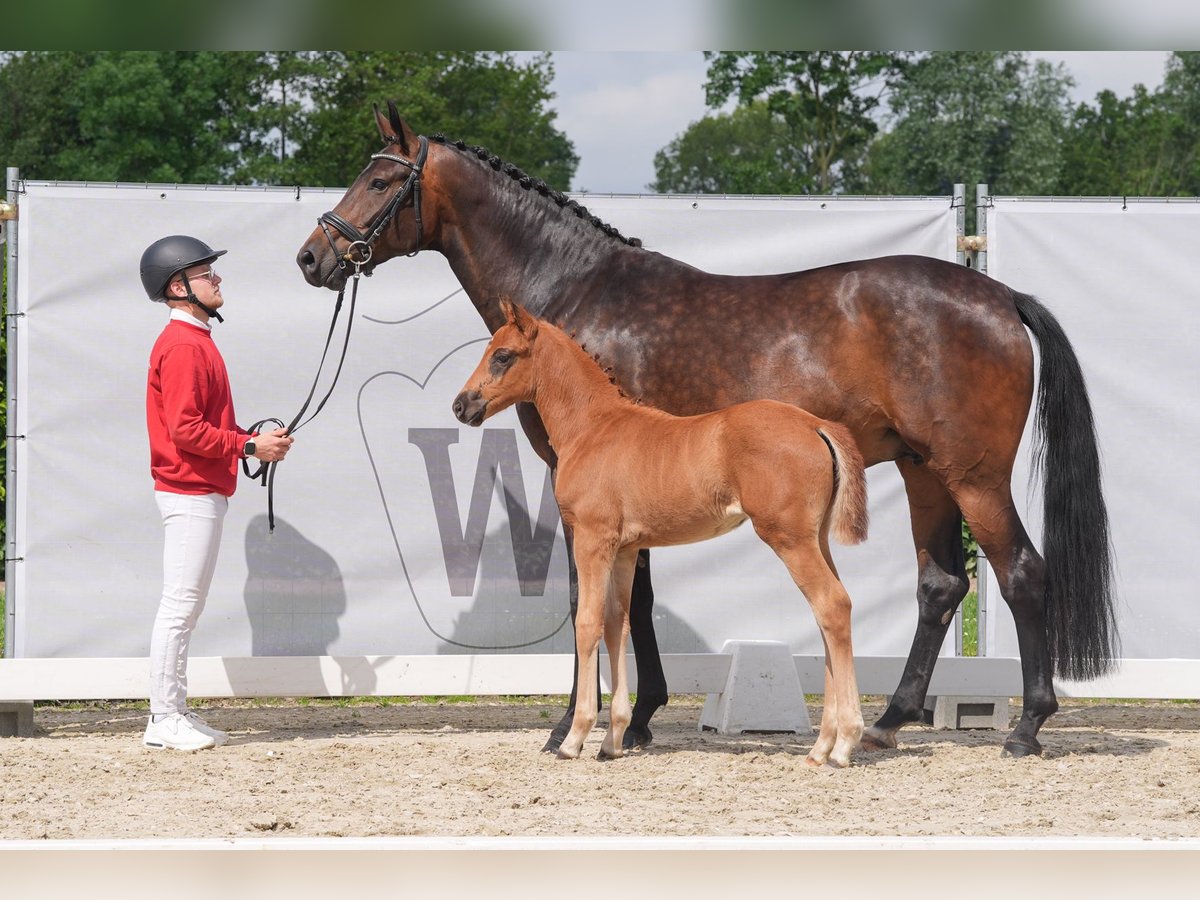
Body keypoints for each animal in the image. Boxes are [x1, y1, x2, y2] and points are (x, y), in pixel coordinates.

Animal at [453, 303, 868, 768]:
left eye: (503, 356)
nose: (461, 405)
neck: (594, 427)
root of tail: (816, 425)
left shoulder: (592, 541)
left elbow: (587, 623)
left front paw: (574, 738)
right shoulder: (624, 550)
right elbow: (617, 624)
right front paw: (613, 739)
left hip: (789, 539)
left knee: (832, 605)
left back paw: (843, 744)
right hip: (817, 539)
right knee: (828, 616)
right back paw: (822, 745)